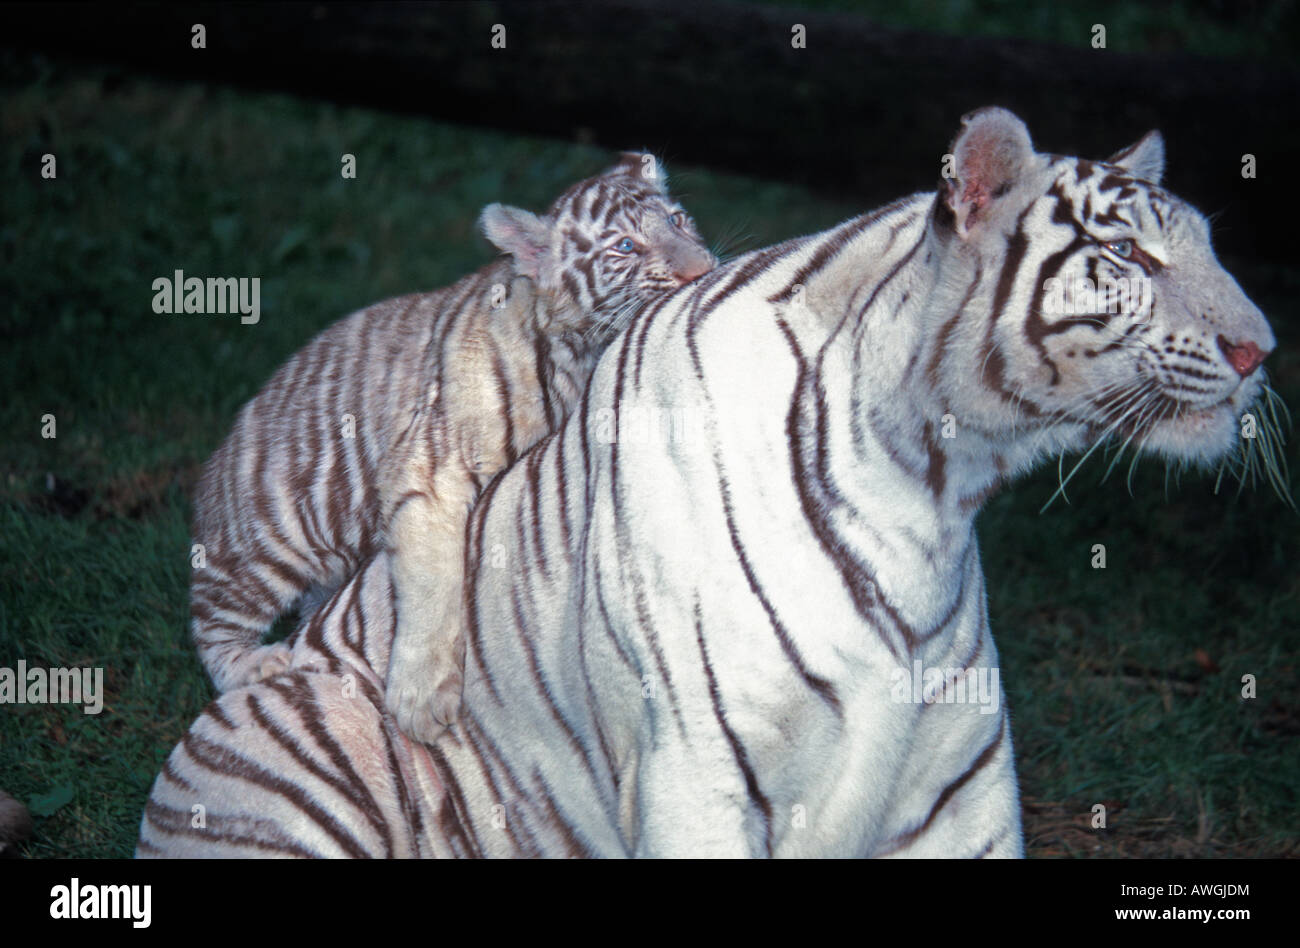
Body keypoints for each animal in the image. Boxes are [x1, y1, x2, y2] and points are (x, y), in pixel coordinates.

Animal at [137, 109, 1274, 858]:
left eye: (1207, 244)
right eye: (1130, 257)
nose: (1261, 349)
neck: (935, 483)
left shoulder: (959, 798)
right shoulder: (698, 774)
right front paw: (426, 687)